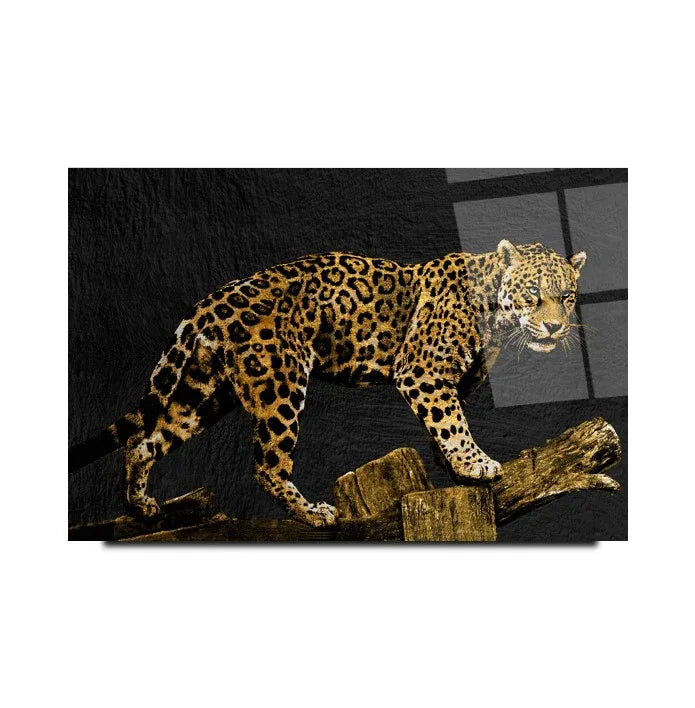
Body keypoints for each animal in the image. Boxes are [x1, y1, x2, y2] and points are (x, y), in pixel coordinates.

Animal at [69, 240, 587, 527]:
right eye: (533, 294)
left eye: (567, 297)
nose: (555, 327)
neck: (496, 316)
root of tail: (215, 299)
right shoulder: (423, 371)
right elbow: (452, 424)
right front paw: (475, 464)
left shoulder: (443, 382)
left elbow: (442, 427)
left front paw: (456, 469)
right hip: (280, 386)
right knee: (267, 466)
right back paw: (313, 512)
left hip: (203, 392)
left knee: (143, 441)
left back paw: (141, 506)